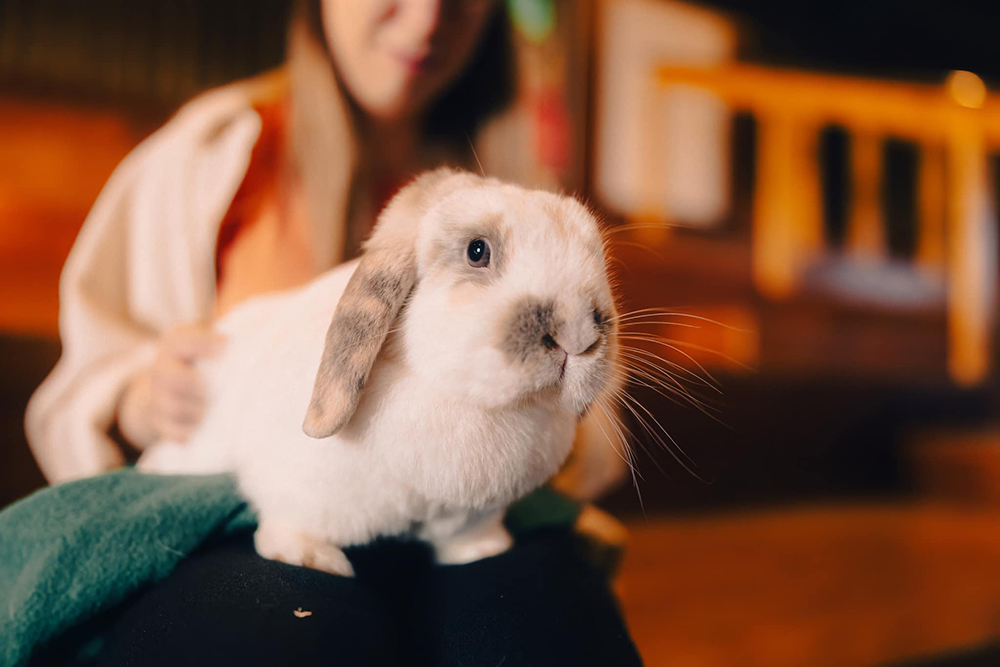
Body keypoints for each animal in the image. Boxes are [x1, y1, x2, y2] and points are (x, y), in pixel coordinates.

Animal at [139, 166, 624, 576]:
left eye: (597, 257)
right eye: (477, 251)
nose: (578, 335)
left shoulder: (472, 515)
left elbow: (470, 537)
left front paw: (484, 553)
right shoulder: (296, 490)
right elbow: (289, 524)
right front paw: (313, 559)